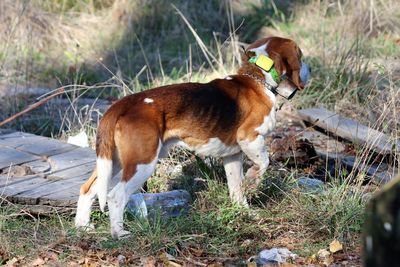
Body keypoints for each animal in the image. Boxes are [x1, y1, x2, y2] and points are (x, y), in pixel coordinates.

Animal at [76, 36, 312, 239]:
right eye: (301, 55)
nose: (310, 70)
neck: (259, 78)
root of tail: (121, 105)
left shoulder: (233, 155)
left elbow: (236, 188)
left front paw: (244, 212)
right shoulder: (250, 137)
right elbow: (264, 161)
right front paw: (254, 179)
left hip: (112, 161)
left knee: (87, 190)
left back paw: (83, 226)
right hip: (142, 163)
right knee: (115, 196)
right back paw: (119, 233)